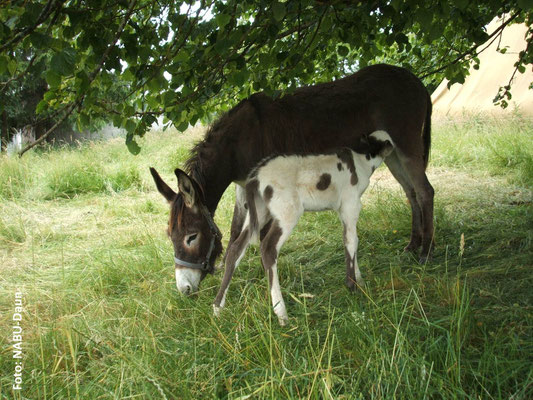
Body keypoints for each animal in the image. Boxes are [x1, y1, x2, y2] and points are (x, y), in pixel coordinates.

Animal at [213, 131, 394, 324]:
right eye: (386, 141)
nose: (392, 147)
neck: (361, 162)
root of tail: (255, 177)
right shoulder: (350, 204)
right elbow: (351, 240)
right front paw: (352, 286)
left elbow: (351, 239)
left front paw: (358, 279)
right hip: (287, 212)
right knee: (268, 248)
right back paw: (281, 312)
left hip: (259, 211)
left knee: (236, 249)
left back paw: (217, 307)